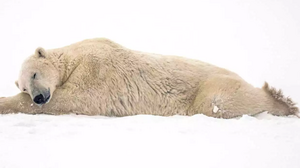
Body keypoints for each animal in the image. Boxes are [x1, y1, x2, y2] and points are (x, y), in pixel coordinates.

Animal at [0, 38, 298, 119]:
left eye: (35, 74)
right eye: (25, 87)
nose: (39, 97)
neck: (74, 57)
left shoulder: (96, 68)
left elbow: (75, 97)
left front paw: (3, 102)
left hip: (211, 84)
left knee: (218, 101)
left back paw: (280, 100)